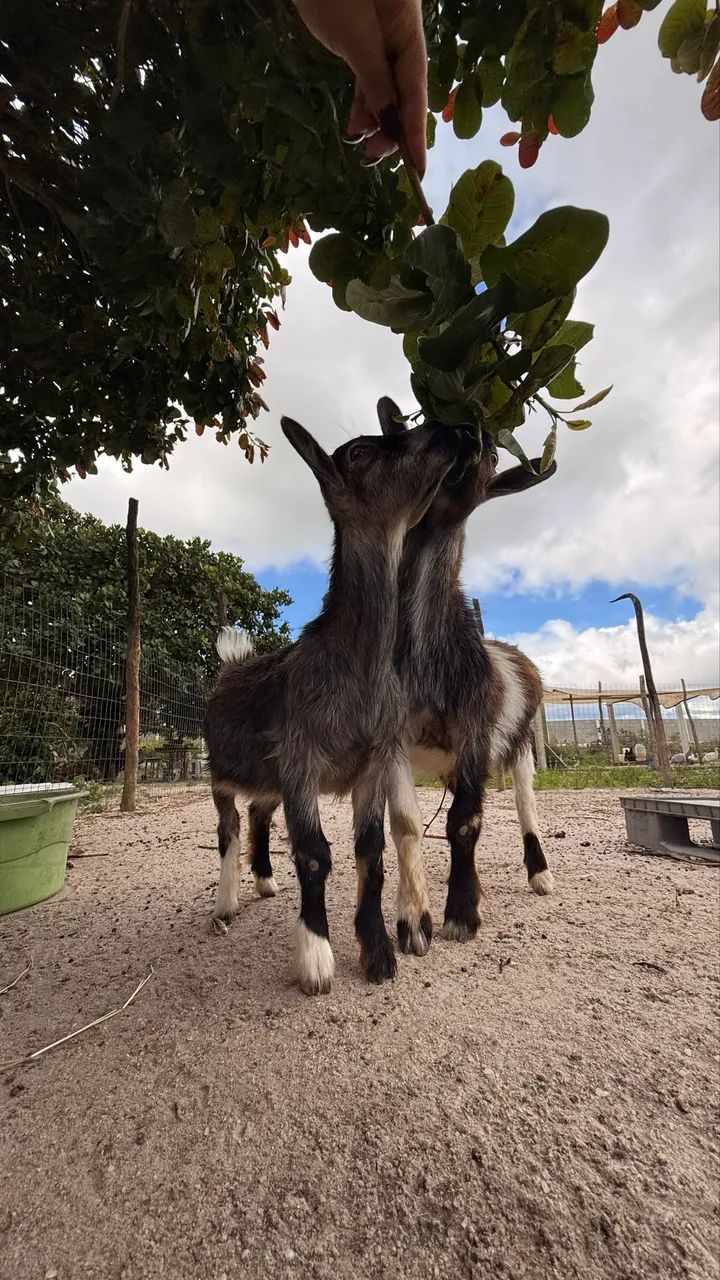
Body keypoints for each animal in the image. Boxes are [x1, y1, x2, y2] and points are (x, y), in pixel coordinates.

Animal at [204, 415, 474, 994]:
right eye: (360, 453)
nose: (457, 430)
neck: (358, 672)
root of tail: (231, 665)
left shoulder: (372, 763)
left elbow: (370, 855)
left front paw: (379, 952)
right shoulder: (301, 758)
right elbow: (313, 854)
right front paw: (315, 959)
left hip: (270, 775)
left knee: (259, 813)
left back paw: (264, 883)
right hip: (219, 770)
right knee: (228, 828)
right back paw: (226, 902)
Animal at [375, 397, 556, 954]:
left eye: (495, 456)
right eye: (421, 429)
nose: (469, 433)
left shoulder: (476, 730)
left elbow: (465, 823)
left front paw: (460, 915)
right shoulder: (392, 736)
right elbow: (407, 825)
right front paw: (414, 923)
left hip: (520, 746)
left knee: (524, 805)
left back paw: (540, 875)